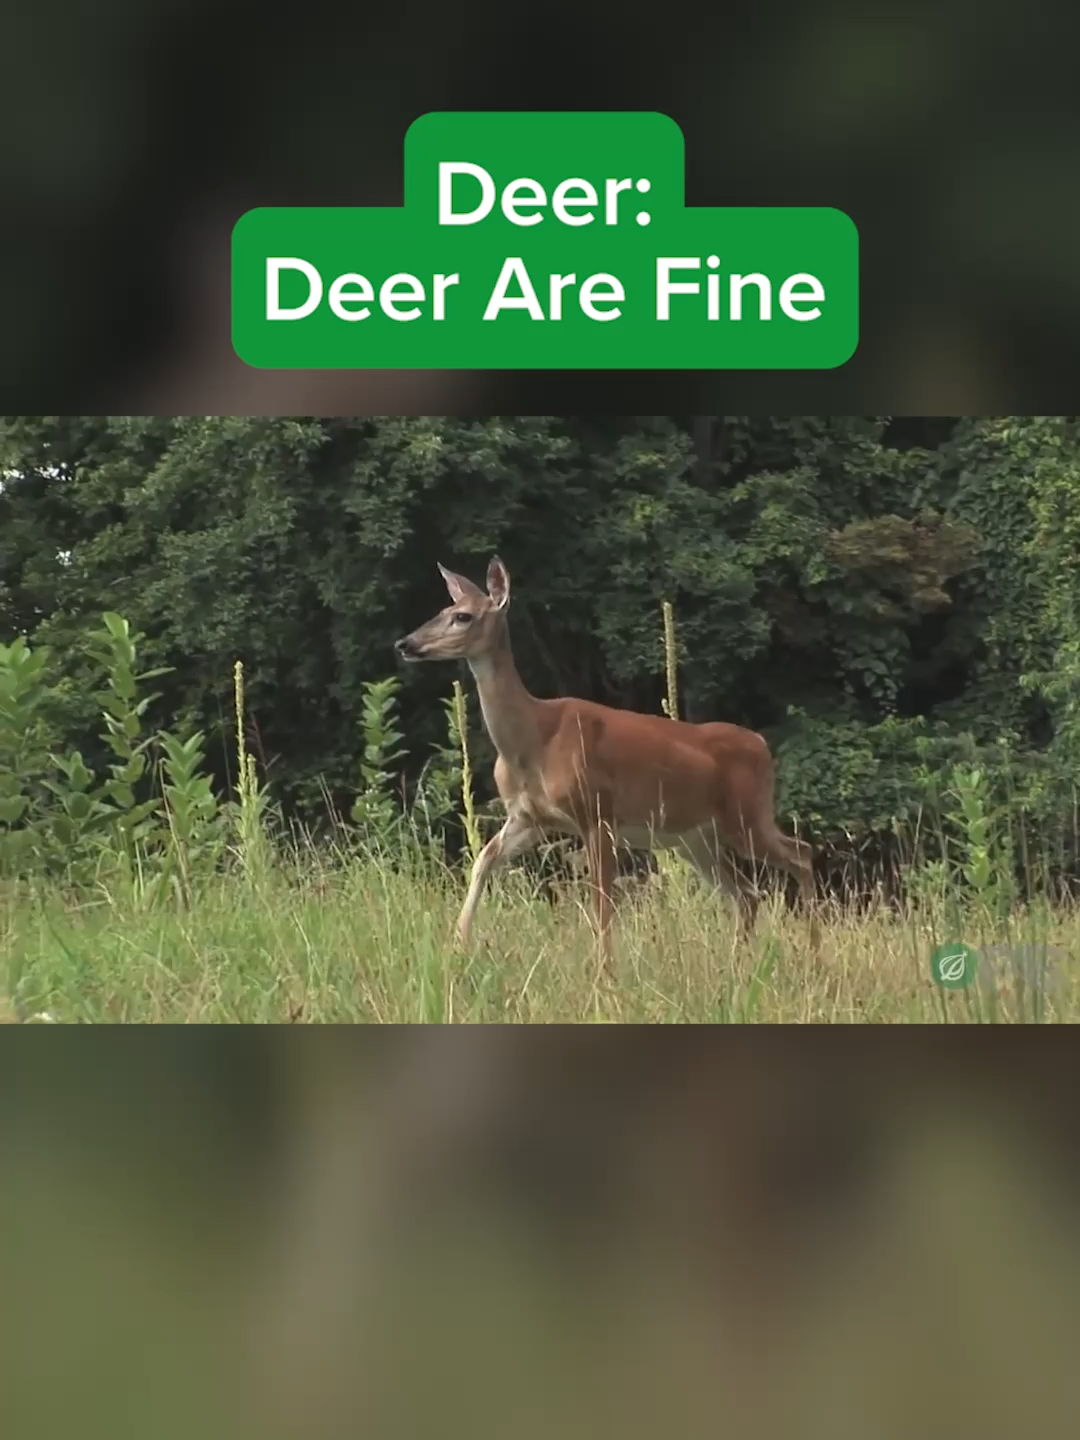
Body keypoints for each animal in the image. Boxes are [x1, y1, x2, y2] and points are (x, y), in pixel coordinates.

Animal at [394, 556, 818, 963]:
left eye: (463, 616)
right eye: (443, 608)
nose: (405, 643)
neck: (532, 739)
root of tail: (761, 744)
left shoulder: (597, 812)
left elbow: (602, 905)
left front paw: (605, 973)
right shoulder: (530, 817)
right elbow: (483, 860)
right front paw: (458, 943)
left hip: (746, 816)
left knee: (800, 855)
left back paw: (810, 956)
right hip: (695, 837)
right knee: (746, 894)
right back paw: (738, 966)